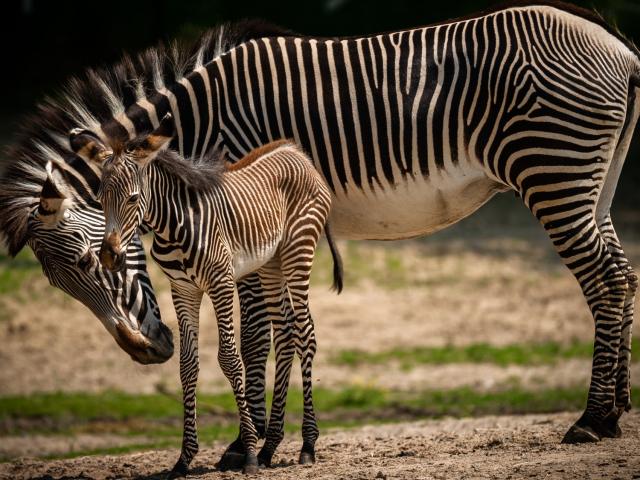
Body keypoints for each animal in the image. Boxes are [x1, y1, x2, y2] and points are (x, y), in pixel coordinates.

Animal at [69, 113, 342, 476]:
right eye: (100, 199)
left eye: (132, 198)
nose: (110, 257)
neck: (172, 228)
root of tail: (297, 152)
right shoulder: (183, 289)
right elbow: (187, 366)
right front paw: (184, 459)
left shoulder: (220, 282)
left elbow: (229, 359)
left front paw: (248, 453)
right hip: (271, 263)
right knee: (285, 336)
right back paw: (270, 448)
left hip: (299, 251)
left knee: (305, 334)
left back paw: (307, 445)